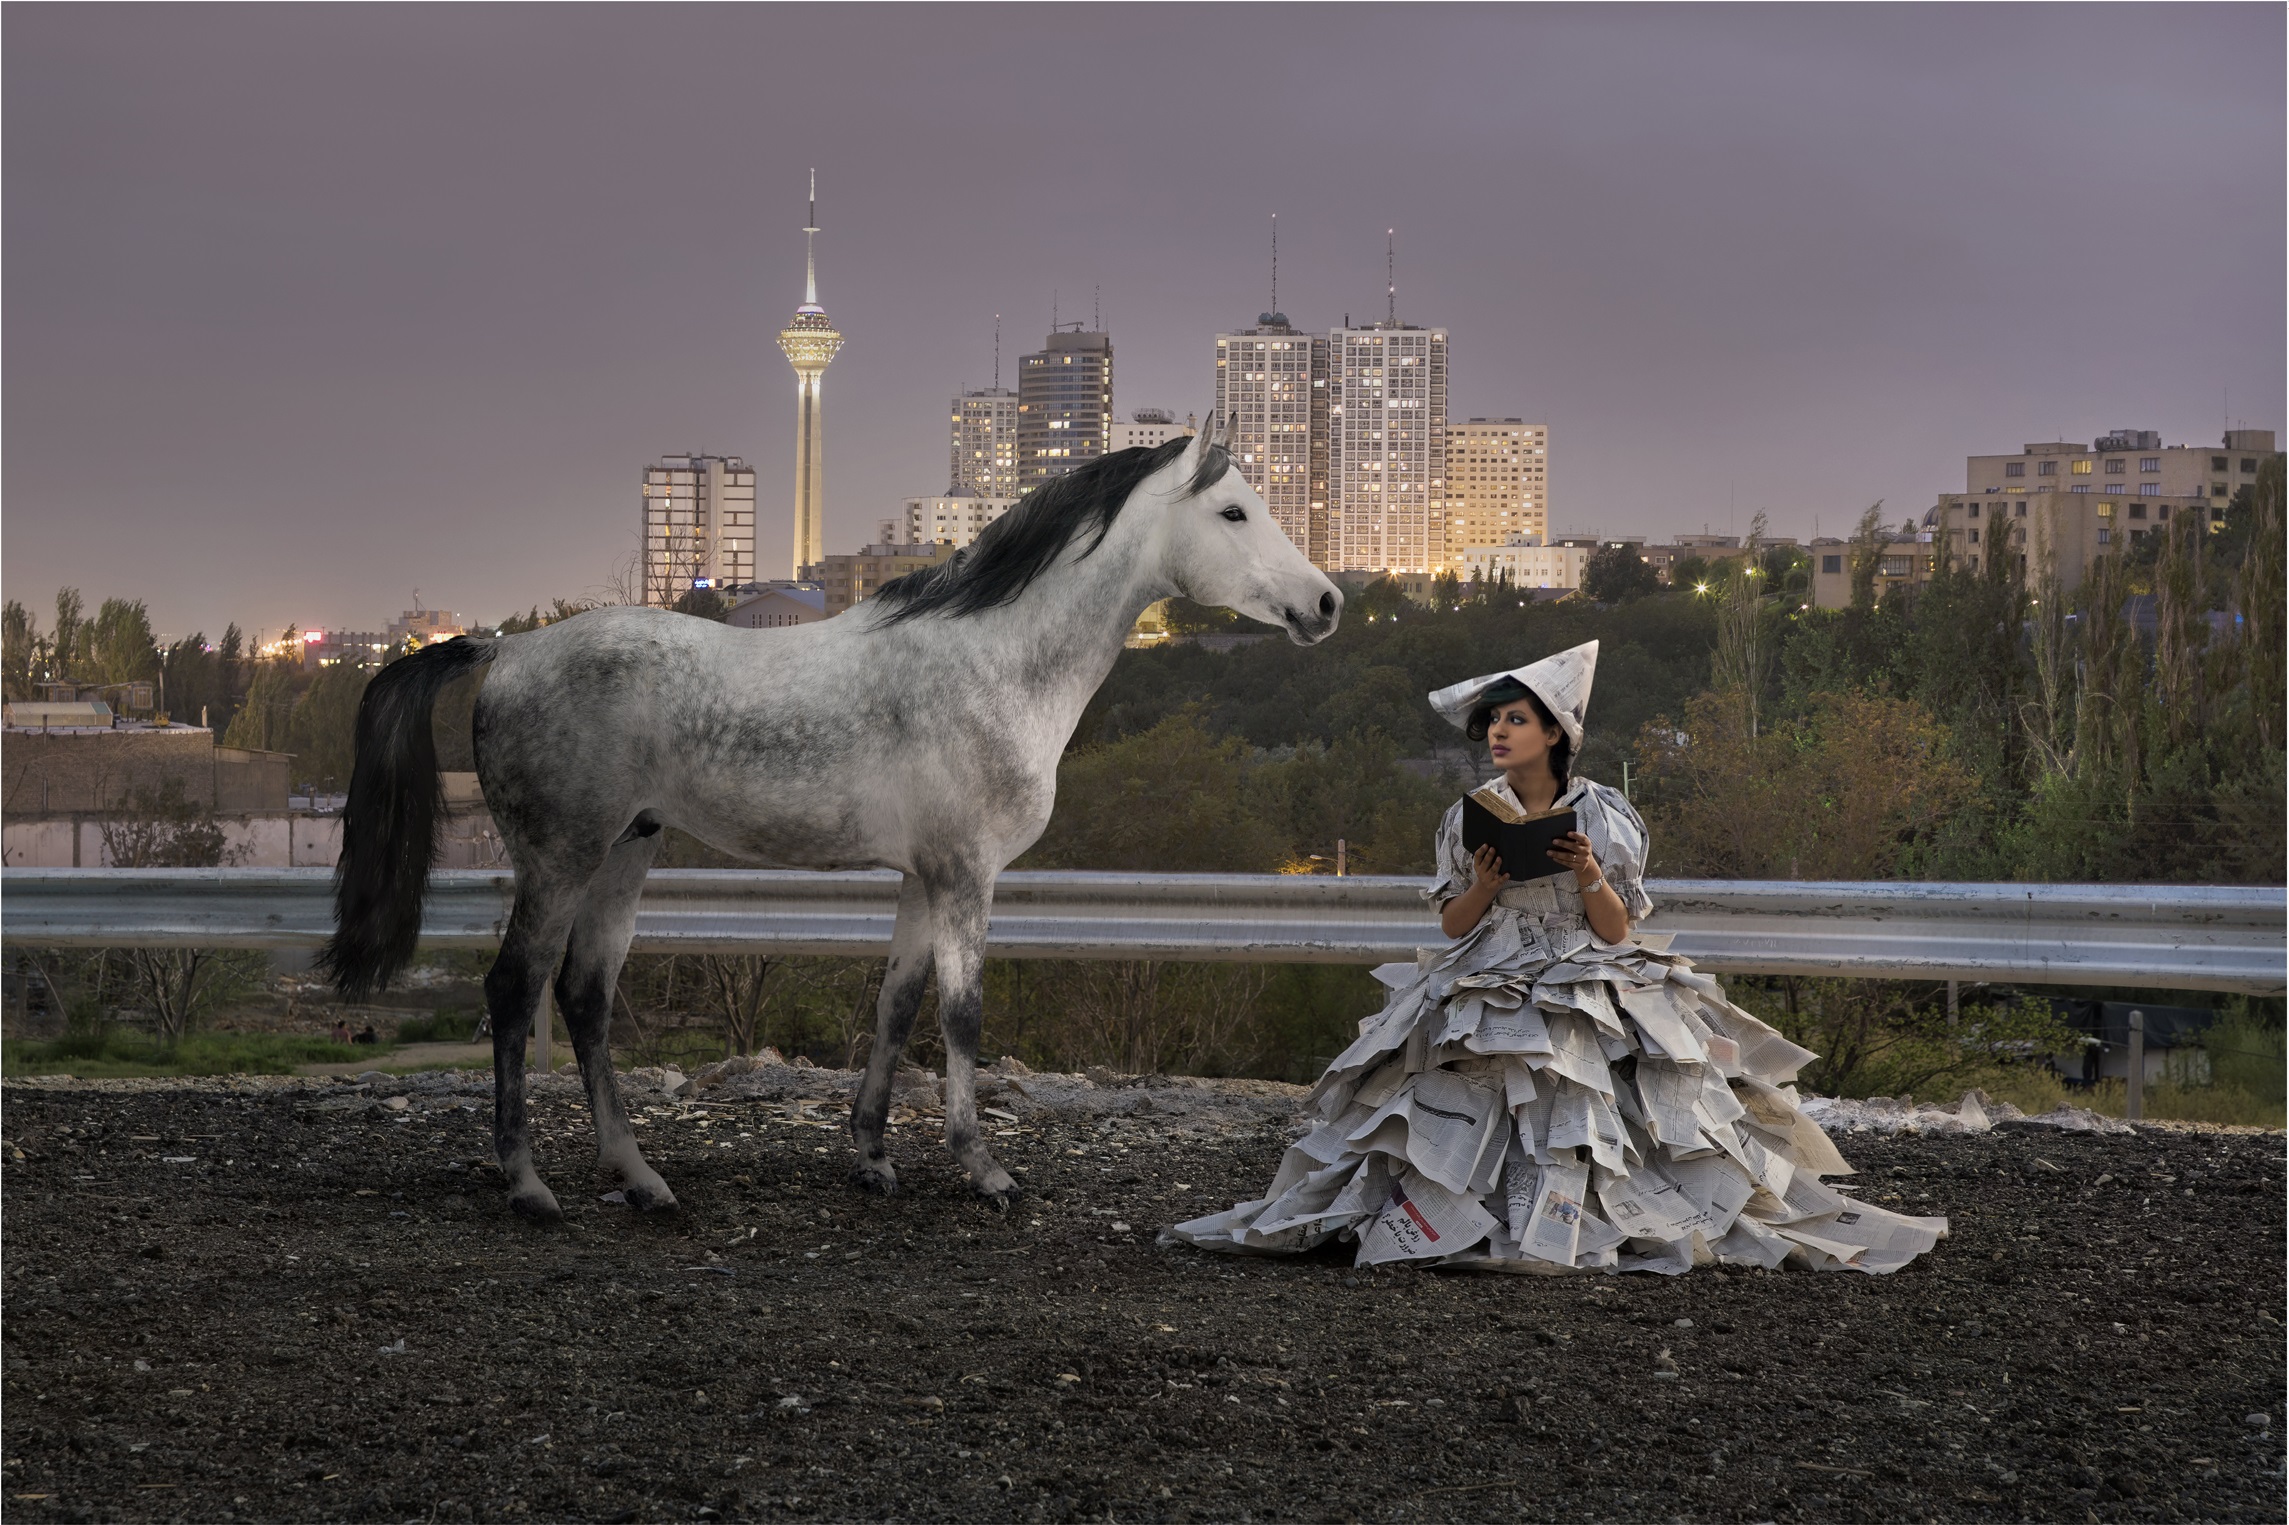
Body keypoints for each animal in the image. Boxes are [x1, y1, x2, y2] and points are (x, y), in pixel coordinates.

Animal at [318, 421, 1336, 1218]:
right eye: (1233, 512)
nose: (1325, 602)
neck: (995, 659)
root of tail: (507, 649)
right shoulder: (965, 874)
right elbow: (962, 1015)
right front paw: (982, 1167)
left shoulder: (924, 877)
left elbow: (895, 1005)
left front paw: (873, 1156)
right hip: (559, 858)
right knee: (514, 988)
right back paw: (528, 1183)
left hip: (624, 852)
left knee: (584, 995)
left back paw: (639, 1176)